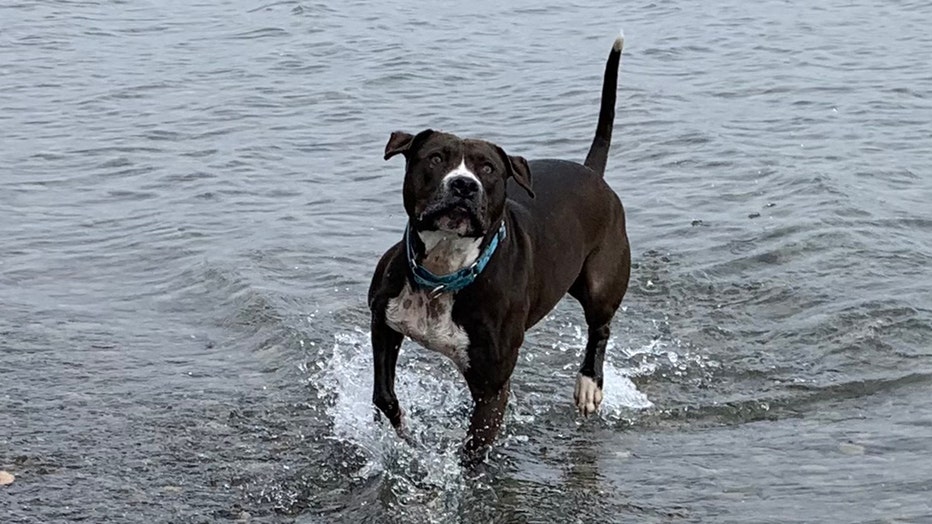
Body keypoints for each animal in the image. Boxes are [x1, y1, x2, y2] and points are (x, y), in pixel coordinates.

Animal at [368, 33, 628, 466]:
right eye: (435, 159)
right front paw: (401, 434)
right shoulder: (383, 322)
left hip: (602, 282)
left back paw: (589, 384)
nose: (463, 185)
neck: (445, 271)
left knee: (600, 327)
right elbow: (384, 395)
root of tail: (592, 172)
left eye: (488, 169)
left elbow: (474, 448)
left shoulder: (492, 381)